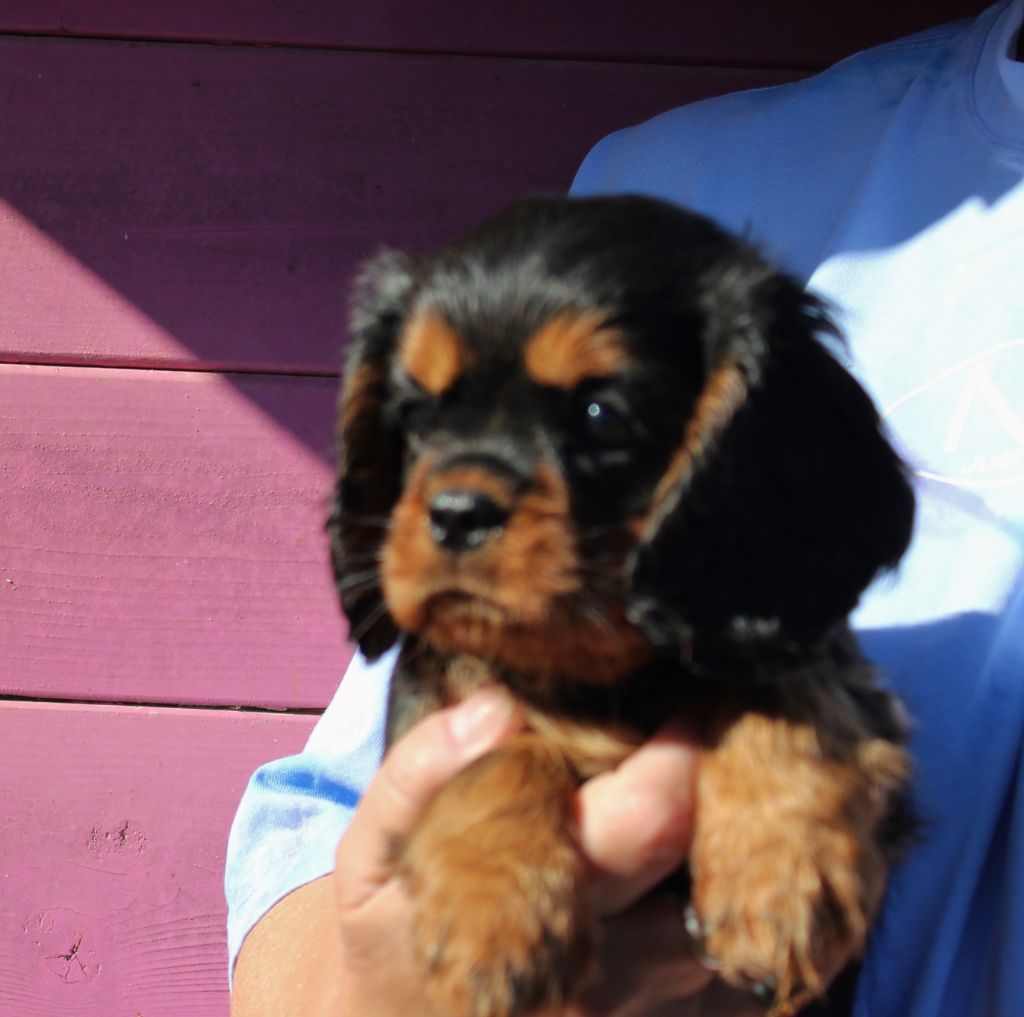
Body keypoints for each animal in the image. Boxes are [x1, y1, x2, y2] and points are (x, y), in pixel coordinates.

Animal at [329, 194, 921, 1011]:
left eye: (600, 415)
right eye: (416, 414)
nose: (453, 512)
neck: (605, 667)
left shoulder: (815, 658)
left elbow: (786, 691)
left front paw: (780, 876)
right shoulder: (439, 705)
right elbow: (491, 749)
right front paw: (496, 917)